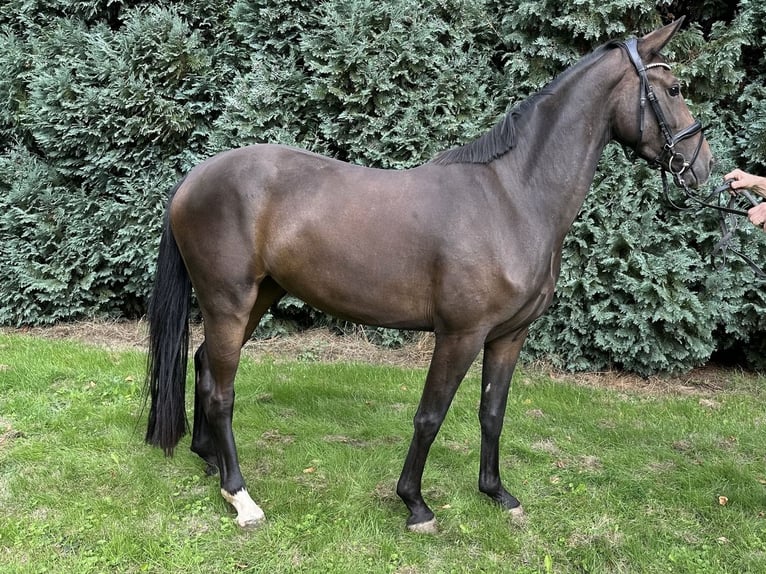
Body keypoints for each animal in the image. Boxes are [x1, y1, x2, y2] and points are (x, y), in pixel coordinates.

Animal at [145, 18, 713, 533]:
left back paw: (210, 461)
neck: (512, 198)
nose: (702, 167)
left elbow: (492, 412)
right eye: (674, 89)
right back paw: (240, 497)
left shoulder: (508, 336)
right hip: (229, 302)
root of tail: (193, 179)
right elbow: (430, 416)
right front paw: (415, 504)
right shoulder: (460, 335)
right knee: (222, 391)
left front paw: (497, 494)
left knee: (205, 366)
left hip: (259, 297)